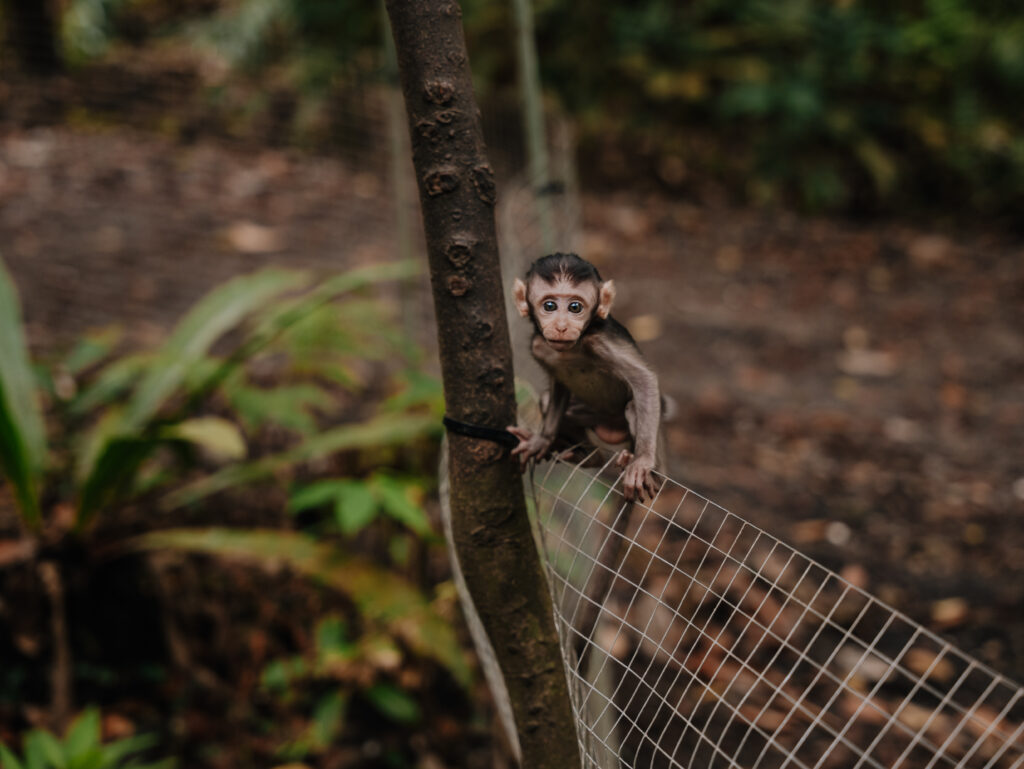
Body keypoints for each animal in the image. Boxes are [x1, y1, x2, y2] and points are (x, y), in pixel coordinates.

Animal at [509, 255, 663, 501]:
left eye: (575, 307)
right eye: (549, 306)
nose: (562, 327)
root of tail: (611, 427)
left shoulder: (600, 341)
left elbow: (644, 378)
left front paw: (643, 461)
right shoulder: (539, 346)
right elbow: (557, 386)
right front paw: (543, 440)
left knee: (632, 406)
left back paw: (645, 469)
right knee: (548, 401)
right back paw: (592, 457)